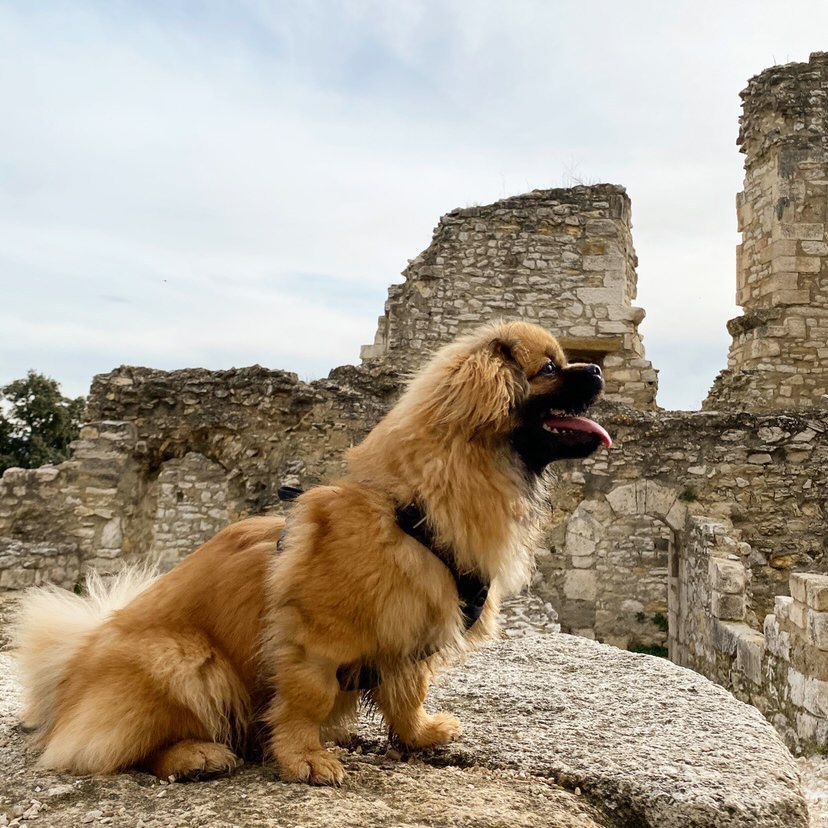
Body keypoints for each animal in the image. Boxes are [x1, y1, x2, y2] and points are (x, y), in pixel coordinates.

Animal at [11, 320, 608, 784]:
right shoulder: (314, 641)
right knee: (118, 750)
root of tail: (67, 675)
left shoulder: (409, 638)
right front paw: (305, 759)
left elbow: (408, 695)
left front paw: (420, 735)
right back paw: (196, 755)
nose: (599, 372)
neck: (411, 510)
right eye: (549, 369)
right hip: (186, 659)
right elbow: (307, 701)